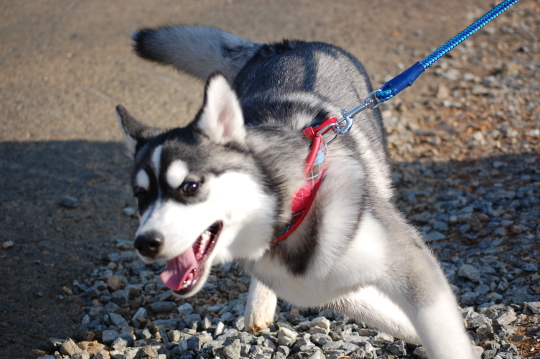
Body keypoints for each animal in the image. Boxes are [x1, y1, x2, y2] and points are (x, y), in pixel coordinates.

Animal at [117, 26, 472, 359]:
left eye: (190, 186)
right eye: (141, 196)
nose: (145, 243)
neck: (291, 216)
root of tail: (283, 45)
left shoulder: (408, 263)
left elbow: (441, 335)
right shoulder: (319, 286)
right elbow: (382, 312)